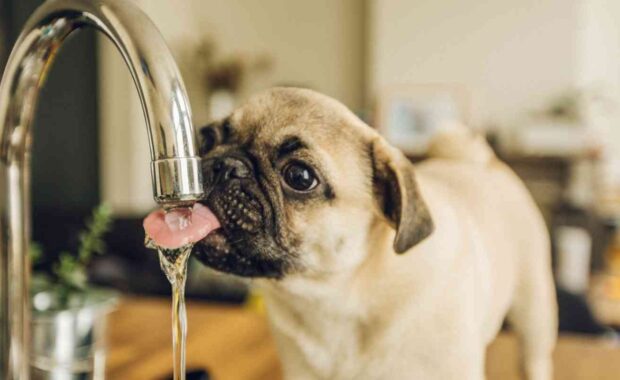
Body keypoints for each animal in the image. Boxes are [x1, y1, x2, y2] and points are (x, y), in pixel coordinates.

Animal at [194, 87, 556, 378]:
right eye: (206, 139)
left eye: (299, 176)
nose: (224, 165)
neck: (333, 296)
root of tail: (479, 162)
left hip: (534, 312)